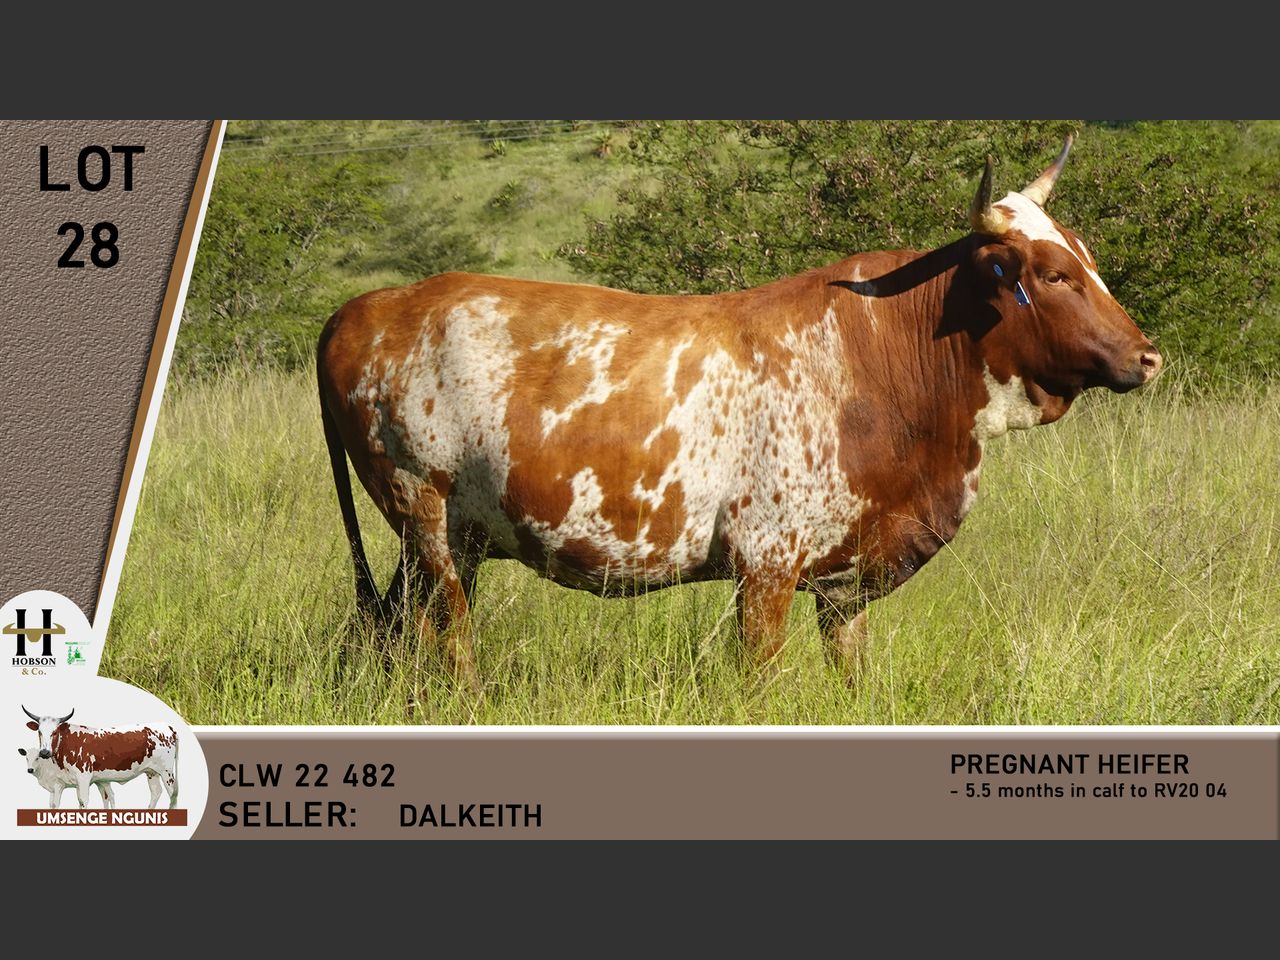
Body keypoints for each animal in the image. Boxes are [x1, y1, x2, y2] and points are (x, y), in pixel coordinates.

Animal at [22, 706, 180, 809]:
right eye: (39, 732)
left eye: (54, 732)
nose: (44, 752)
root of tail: (168, 726)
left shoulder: (83, 777)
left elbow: (83, 801)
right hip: (151, 771)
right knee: (156, 792)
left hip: (167, 771)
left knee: (173, 794)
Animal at [316, 136, 1161, 689]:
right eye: (1051, 273)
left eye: (1087, 257)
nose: (1148, 356)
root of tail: (375, 303)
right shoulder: (766, 564)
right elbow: (758, 681)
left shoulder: (843, 580)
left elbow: (852, 678)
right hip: (425, 514)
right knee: (448, 634)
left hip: (449, 537)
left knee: (401, 629)